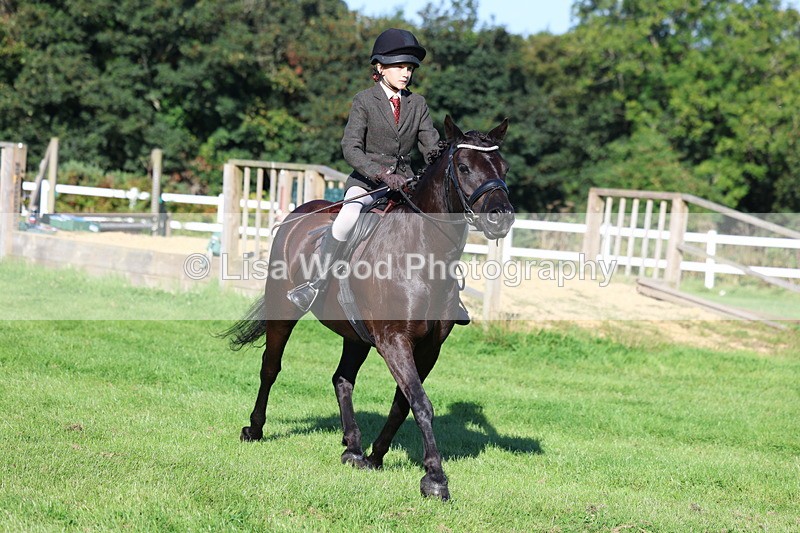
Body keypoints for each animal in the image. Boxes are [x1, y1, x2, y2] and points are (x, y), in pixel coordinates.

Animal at [222, 115, 515, 501]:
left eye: (504, 167)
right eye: (464, 167)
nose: (501, 219)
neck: (422, 254)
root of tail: (300, 212)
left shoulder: (429, 348)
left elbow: (404, 402)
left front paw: (377, 456)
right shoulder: (394, 341)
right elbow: (421, 403)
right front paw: (435, 478)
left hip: (355, 334)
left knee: (342, 379)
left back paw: (353, 447)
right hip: (283, 310)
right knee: (270, 367)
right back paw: (254, 430)